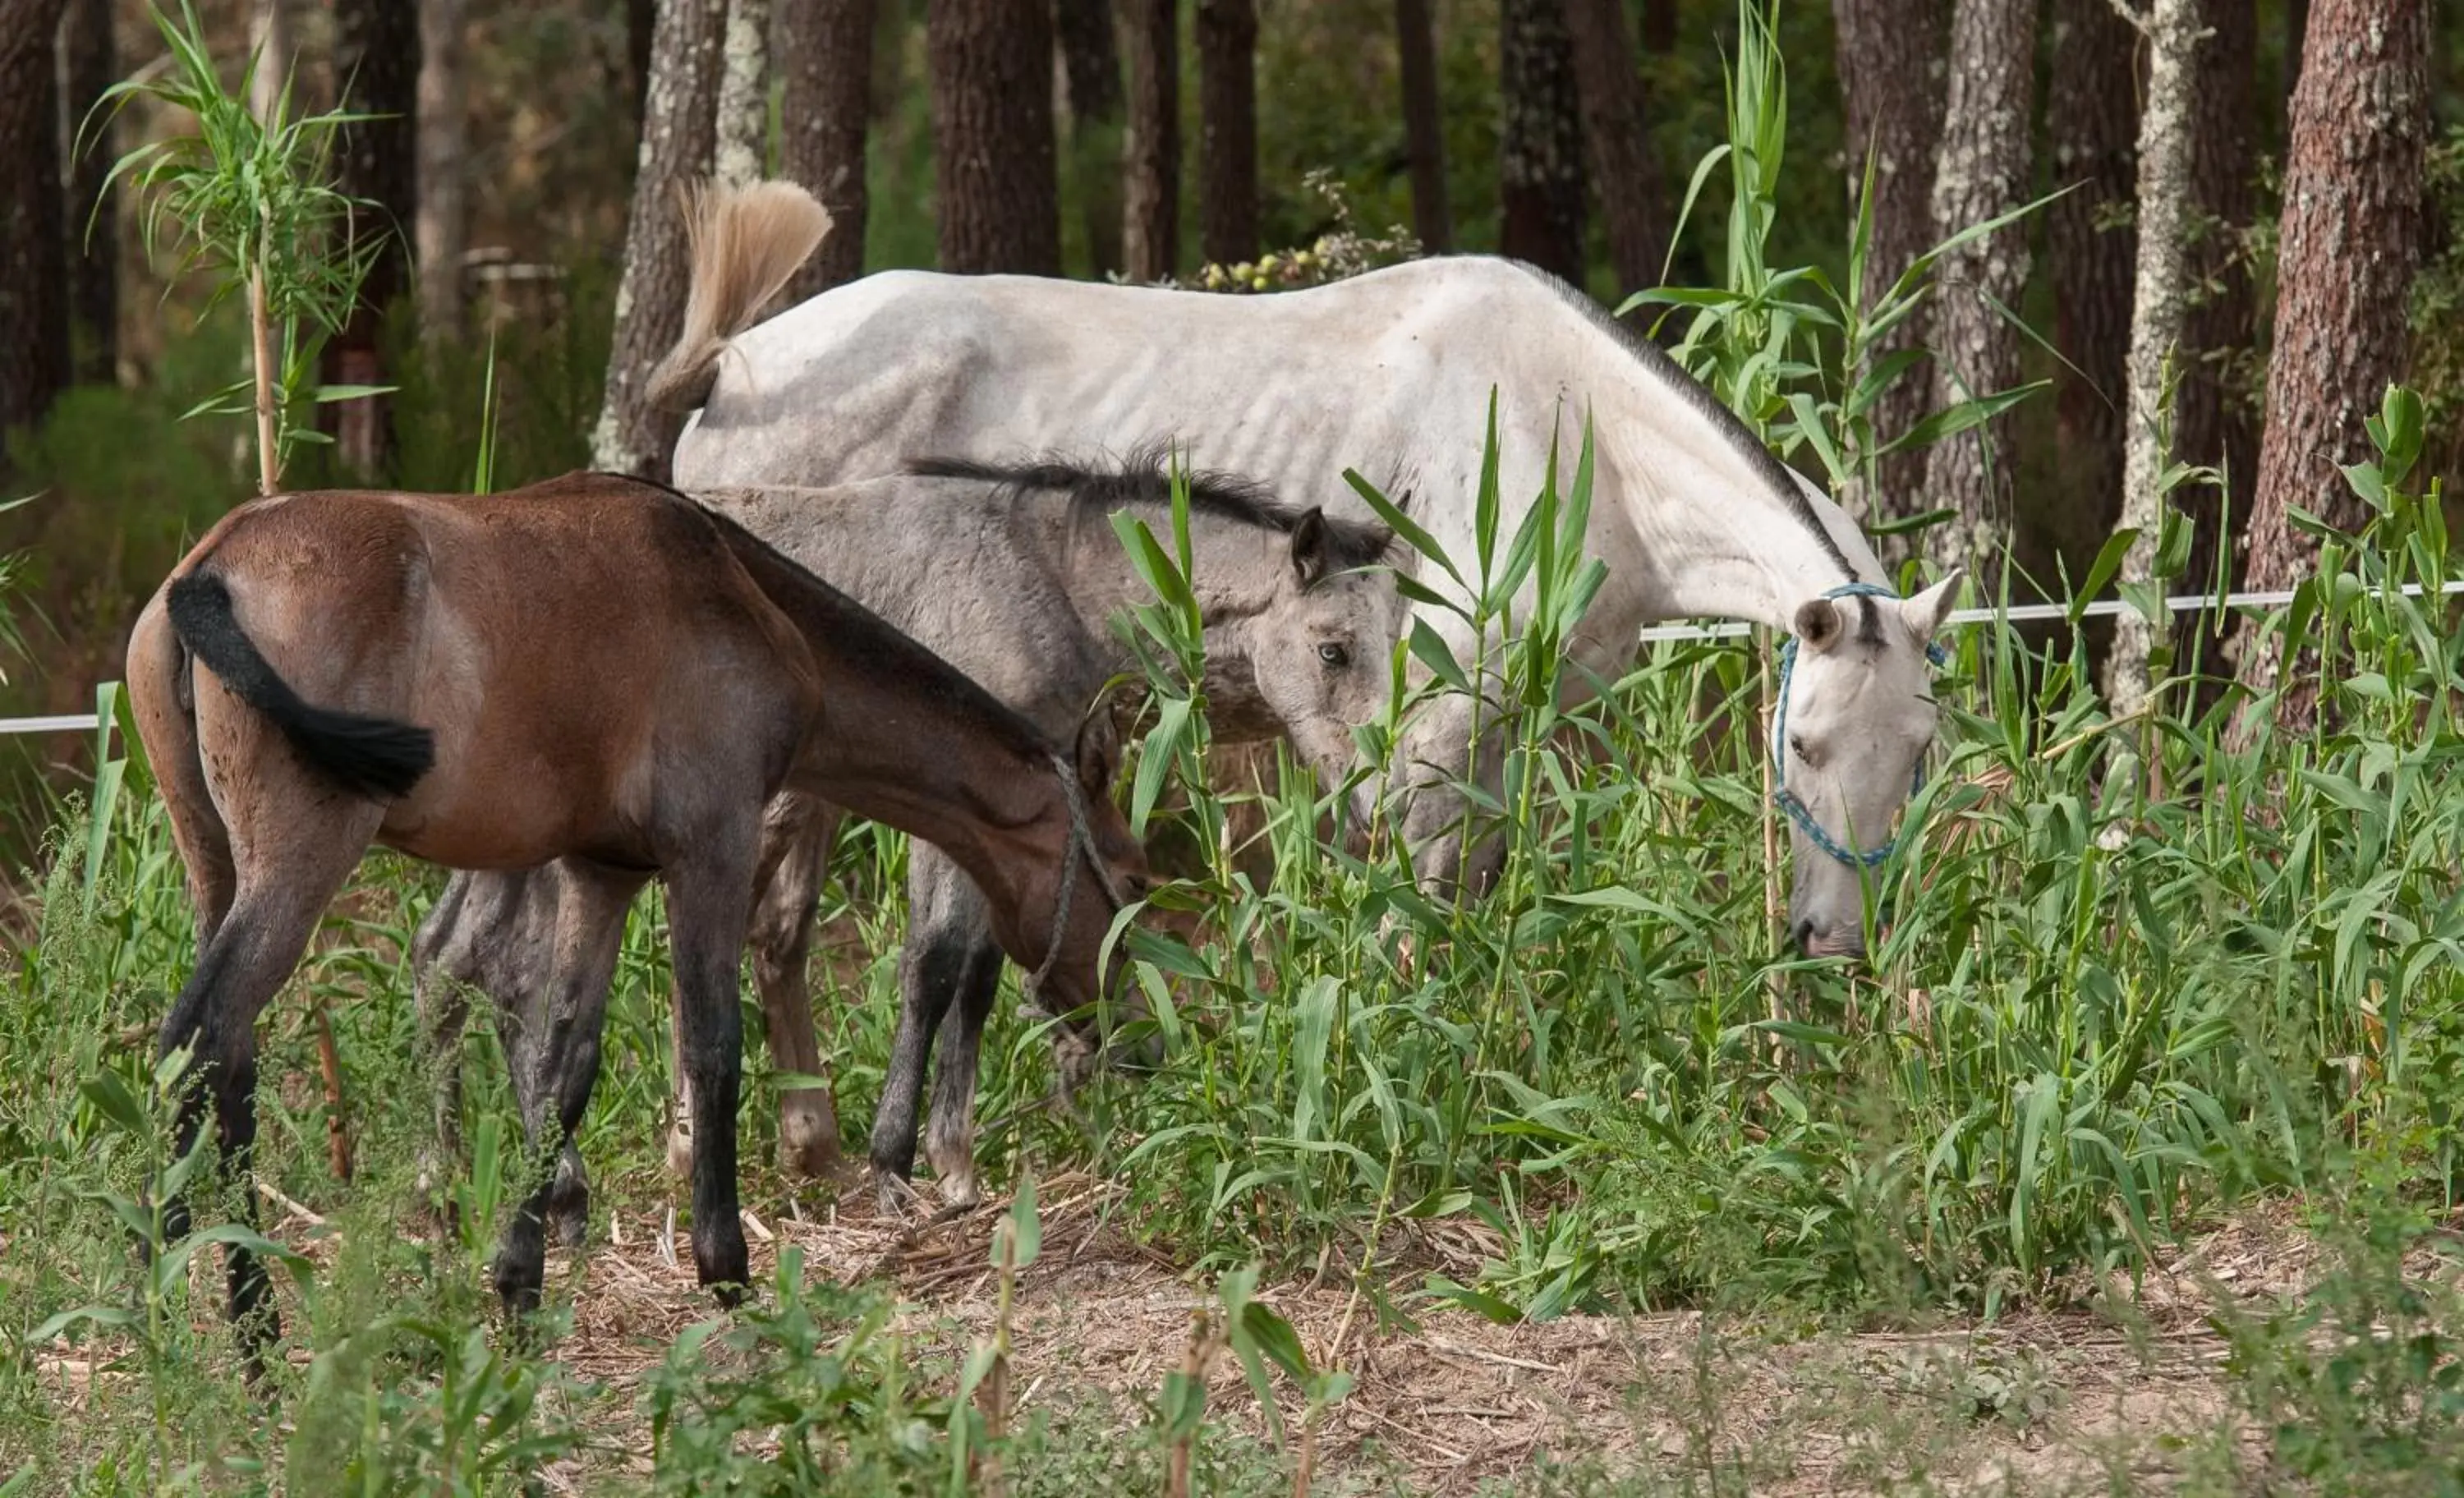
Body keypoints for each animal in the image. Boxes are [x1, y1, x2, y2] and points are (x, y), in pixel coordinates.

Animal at [125, 471, 1143, 1360]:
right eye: (1131, 884)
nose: (1135, 1035)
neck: (744, 598)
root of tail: (214, 566)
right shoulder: (712, 851)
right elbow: (714, 1050)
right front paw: (726, 1269)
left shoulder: (600, 875)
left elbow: (565, 1068)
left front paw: (520, 1280)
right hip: (300, 865)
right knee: (204, 1037)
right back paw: (220, 1317)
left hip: (217, 867)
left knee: (227, 1058)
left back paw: (205, 1290)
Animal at [429, 458, 1409, 1227]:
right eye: (1332, 649)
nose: (1375, 791)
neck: (1045, 580)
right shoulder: (958, 814)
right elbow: (934, 965)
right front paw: (896, 1164)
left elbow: (976, 973)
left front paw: (954, 1162)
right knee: (486, 965)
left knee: (460, 960)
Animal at [650, 181, 1961, 956]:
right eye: (1803, 747)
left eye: (1918, 754)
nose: (1834, 943)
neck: (1582, 440)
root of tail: (737, 367)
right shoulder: (1434, 719)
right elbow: (1420, 888)